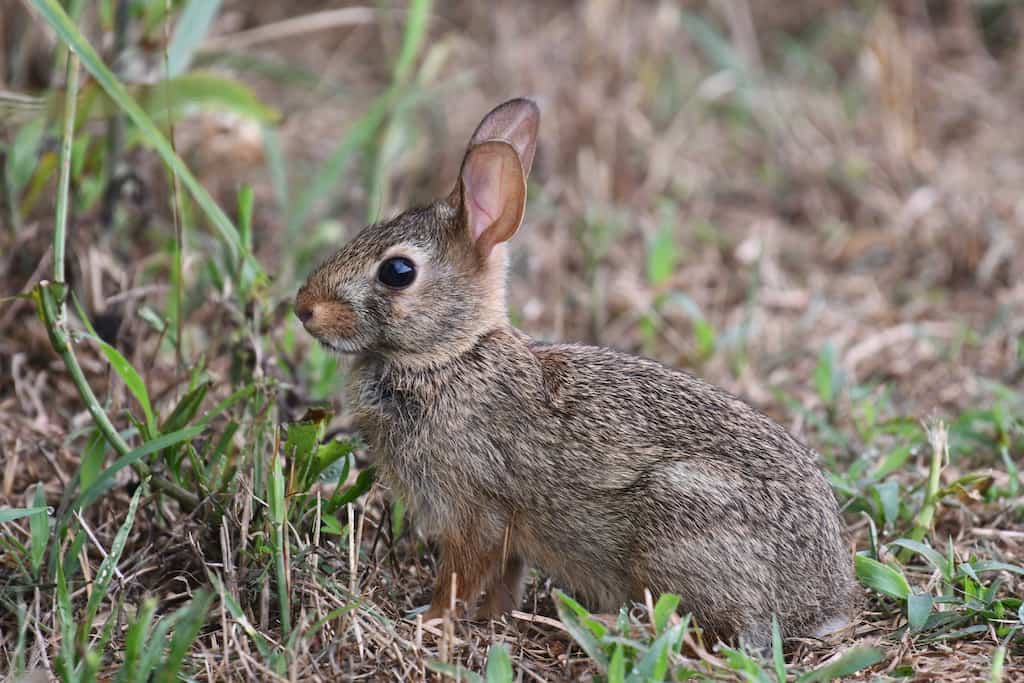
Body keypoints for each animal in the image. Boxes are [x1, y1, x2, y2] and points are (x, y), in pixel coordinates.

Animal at [294, 98, 858, 649]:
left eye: (397, 272)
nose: (303, 308)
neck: (449, 357)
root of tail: (820, 603)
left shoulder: (474, 512)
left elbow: (460, 577)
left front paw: (428, 622)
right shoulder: (507, 535)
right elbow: (505, 579)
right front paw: (493, 621)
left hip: (680, 526)